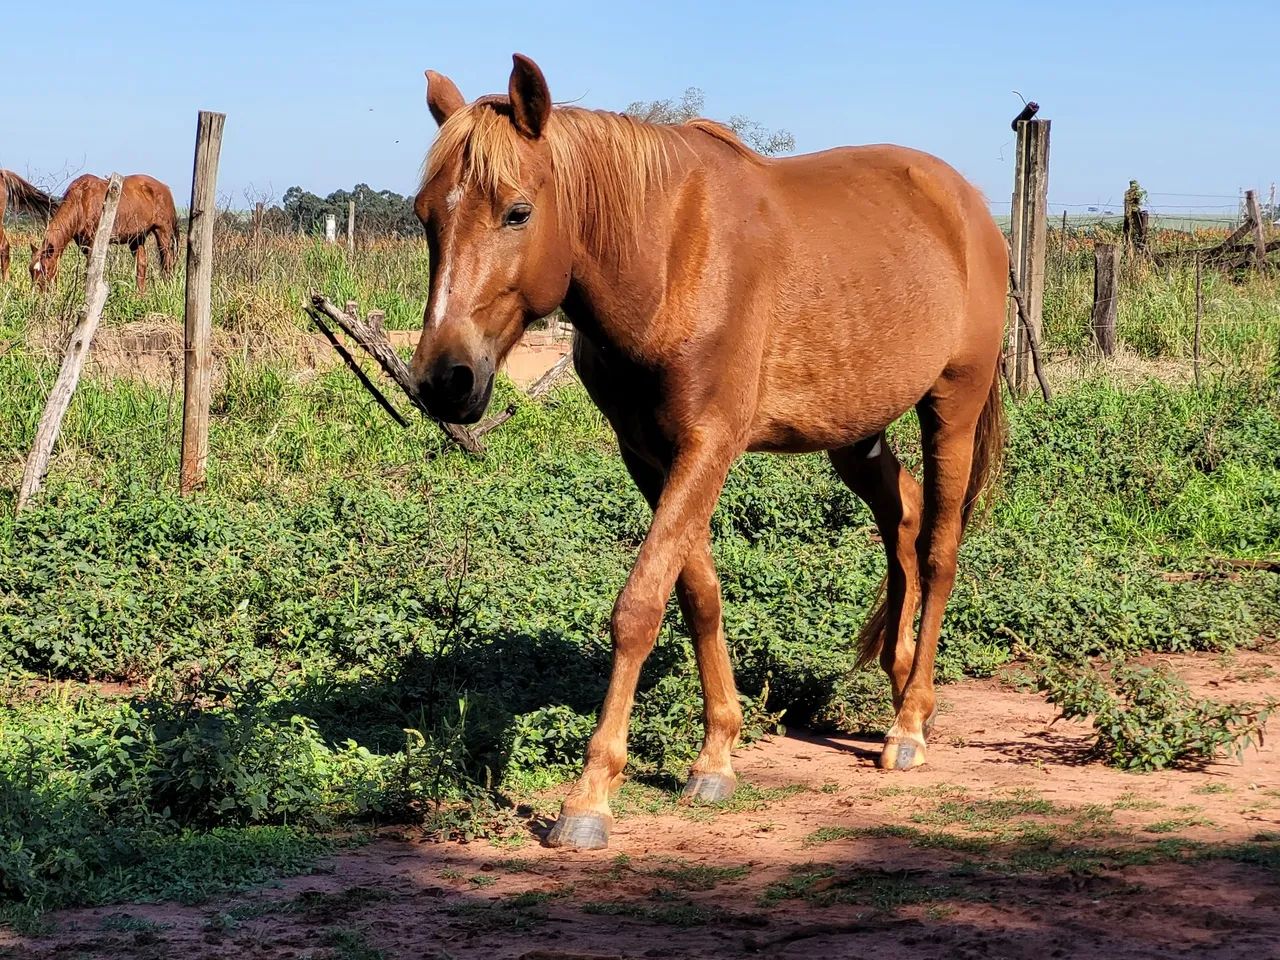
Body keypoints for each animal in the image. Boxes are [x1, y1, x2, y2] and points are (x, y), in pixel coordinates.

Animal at [30, 173, 178, 293]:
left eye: (45, 269)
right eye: (31, 270)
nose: (38, 295)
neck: (82, 200)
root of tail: (164, 188)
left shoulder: (93, 242)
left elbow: (91, 269)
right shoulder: (83, 244)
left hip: (162, 232)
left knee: (167, 262)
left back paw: (168, 288)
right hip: (137, 238)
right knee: (141, 264)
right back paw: (139, 296)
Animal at [411, 55, 1007, 850]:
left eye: (517, 212)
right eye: (426, 216)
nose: (445, 380)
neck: (669, 257)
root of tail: (967, 204)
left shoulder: (708, 445)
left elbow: (639, 605)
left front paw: (590, 795)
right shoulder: (648, 453)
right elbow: (697, 593)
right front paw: (718, 752)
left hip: (952, 409)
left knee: (939, 550)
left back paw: (909, 724)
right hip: (857, 432)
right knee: (903, 519)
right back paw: (903, 679)